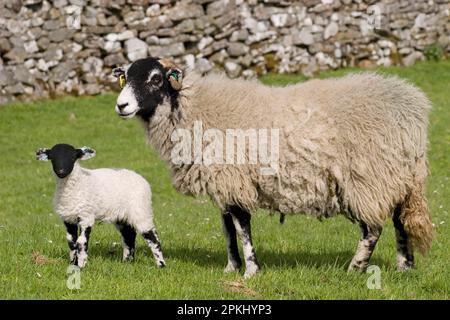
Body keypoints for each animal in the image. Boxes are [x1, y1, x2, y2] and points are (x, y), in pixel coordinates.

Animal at [35, 144, 165, 268]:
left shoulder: (86, 216)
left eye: (73, 157)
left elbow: (81, 242)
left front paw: (81, 265)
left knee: (152, 237)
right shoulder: (68, 218)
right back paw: (127, 262)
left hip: (141, 209)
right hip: (122, 216)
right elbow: (71, 242)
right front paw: (73, 263)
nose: (61, 171)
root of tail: (141, 178)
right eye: (53, 158)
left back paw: (161, 264)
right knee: (129, 235)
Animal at [111, 57, 432, 278]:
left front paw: (251, 271)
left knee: (373, 228)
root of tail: (413, 108)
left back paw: (355, 268)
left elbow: (242, 227)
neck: (194, 110)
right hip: (397, 176)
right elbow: (227, 229)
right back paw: (405, 267)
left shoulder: (235, 178)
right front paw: (231, 267)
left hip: (368, 177)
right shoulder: (224, 181)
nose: (121, 106)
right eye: (125, 77)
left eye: (155, 79)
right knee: (400, 220)